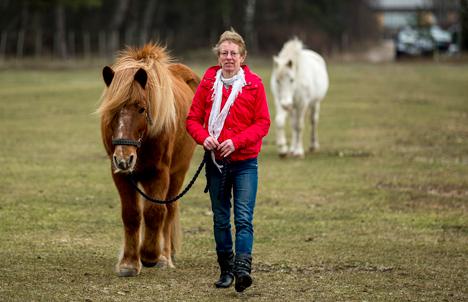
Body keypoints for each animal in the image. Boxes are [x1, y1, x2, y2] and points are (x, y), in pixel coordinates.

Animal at [98, 43, 200, 278]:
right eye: (112, 110)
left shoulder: (159, 172)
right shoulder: (121, 175)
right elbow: (132, 214)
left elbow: (155, 212)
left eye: (141, 108)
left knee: (169, 210)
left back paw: (165, 256)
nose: (124, 158)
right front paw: (129, 262)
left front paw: (151, 255)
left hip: (178, 173)